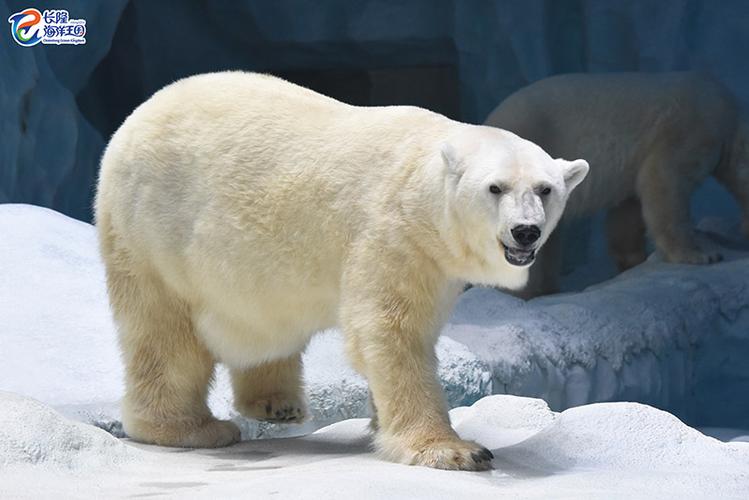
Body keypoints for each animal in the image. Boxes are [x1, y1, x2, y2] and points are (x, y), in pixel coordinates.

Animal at [95, 71, 588, 470]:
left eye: (545, 189)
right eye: (495, 188)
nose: (525, 232)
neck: (419, 181)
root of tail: (137, 116)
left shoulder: (430, 256)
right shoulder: (392, 234)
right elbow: (392, 332)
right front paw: (455, 450)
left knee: (263, 323)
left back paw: (278, 404)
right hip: (154, 234)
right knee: (165, 334)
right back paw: (188, 428)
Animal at [485, 71, 749, 296]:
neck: (730, 118)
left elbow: (628, 211)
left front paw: (633, 261)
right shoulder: (689, 130)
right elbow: (664, 183)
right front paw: (701, 254)